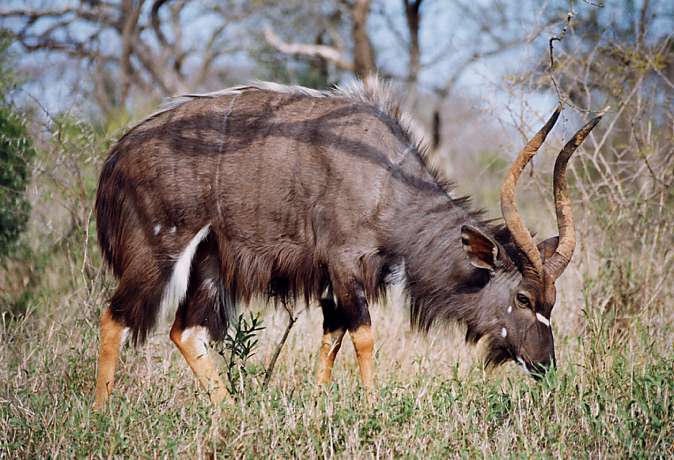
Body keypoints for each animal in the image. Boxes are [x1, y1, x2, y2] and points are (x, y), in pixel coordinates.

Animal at [93, 77, 600, 408]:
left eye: (552, 302)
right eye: (523, 297)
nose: (545, 365)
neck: (386, 182)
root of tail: (117, 156)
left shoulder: (331, 281)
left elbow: (331, 339)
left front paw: (318, 411)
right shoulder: (344, 263)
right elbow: (364, 336)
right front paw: (373, 411)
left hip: (209, 262)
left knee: (185, 330)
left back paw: (232, 414)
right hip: (159, 251)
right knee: (114, 316)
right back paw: (101, 416)